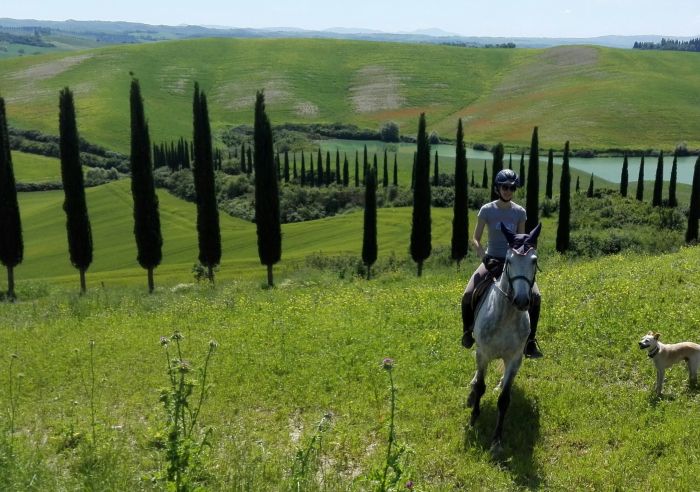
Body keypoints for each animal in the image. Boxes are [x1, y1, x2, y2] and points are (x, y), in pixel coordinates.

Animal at [470, 223, 540, 450]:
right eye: (509, 260)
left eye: (533, 260)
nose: (522, 300)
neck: (507, 315)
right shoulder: (482, 354)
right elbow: (480, 386)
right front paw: (474, 418)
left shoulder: (514, 359)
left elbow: (504, 399)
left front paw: (497, 440)